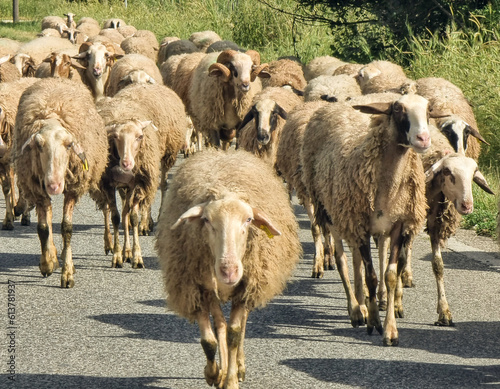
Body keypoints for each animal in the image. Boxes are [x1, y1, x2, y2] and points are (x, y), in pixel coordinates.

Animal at [96, 83, 187, 268]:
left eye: (140, 136)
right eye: (115, 137)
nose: (127, 164)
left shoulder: (138, 183)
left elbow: (133, 217)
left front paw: (136, 256)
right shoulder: (108, 185)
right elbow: (116, 217)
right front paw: (117, 256)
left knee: (132, 209)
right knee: (114, 211)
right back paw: (117, 248)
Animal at [154, 148, 298, 388]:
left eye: (248, 220)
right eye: (206, 220)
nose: (229, 271)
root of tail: (225, 152)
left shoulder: (245, 287)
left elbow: (235, 334)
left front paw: (231, 379)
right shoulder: (198, 288)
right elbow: (209, 340)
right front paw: (213, 374)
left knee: (237, 327)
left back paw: (238, 366)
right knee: (220, 324)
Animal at [300, 92, 442, 344]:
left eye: (428, 110)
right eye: (398, 109)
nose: (423, 139)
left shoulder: (398, 226)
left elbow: (390, 276)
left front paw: (390, 330)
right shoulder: (360, 224)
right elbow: (372, 277)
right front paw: (374, 320)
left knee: (356, 260)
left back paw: (362, 304)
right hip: (333, 212)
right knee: (341, 259)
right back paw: (356, 310)